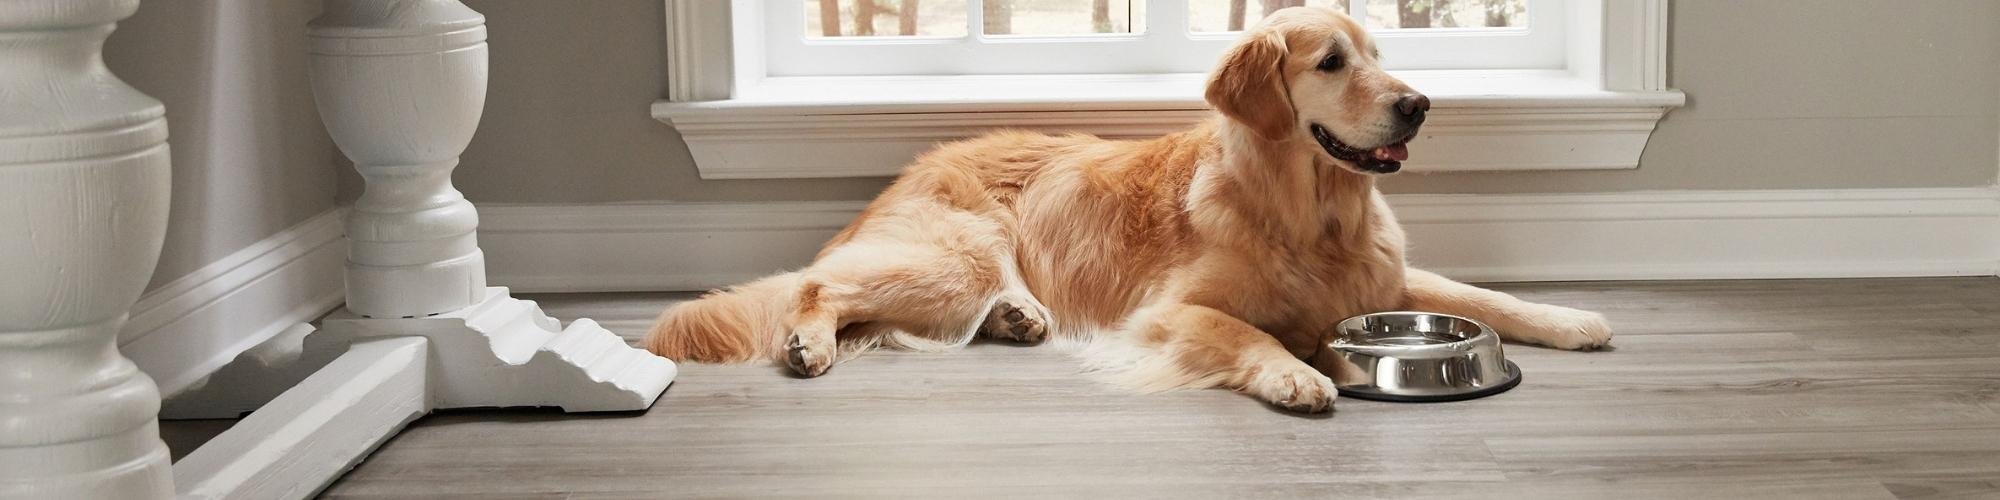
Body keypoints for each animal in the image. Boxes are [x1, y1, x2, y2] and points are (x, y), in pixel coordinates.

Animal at [648, 6, 1616, 414]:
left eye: (1381, 55)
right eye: (1333, 62)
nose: (1418, 105)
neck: (1310, 212)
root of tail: (907, 170)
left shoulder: (1382, 276)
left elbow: (1480, 295)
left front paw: (1571, 319)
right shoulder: (1167, 313)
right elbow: (1245, 332)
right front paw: (1294, 375)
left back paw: (1016, 317)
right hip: (952, 257)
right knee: (817, 289)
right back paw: (807, 343)